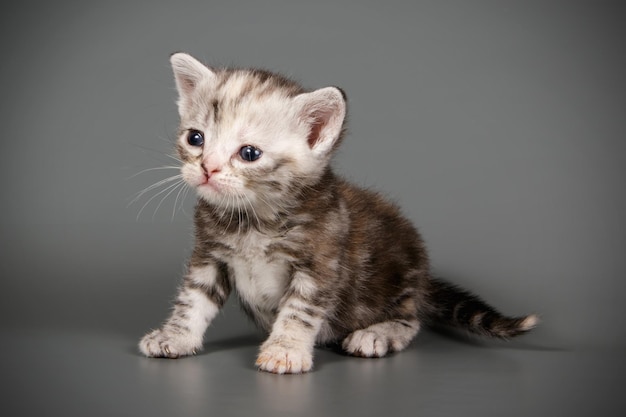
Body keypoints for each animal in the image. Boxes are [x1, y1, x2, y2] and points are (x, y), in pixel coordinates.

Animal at [138, 52, 536, 374]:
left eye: (249, 153)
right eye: (195, 138)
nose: (207, 169)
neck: (254, 220)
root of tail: (423, 278)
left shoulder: (320, 262)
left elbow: (298, 311)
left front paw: (285, 351)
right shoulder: (209, 256)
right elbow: (193, 299)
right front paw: (174, 336)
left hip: (398, 280)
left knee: (410, 320)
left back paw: (376, 334)